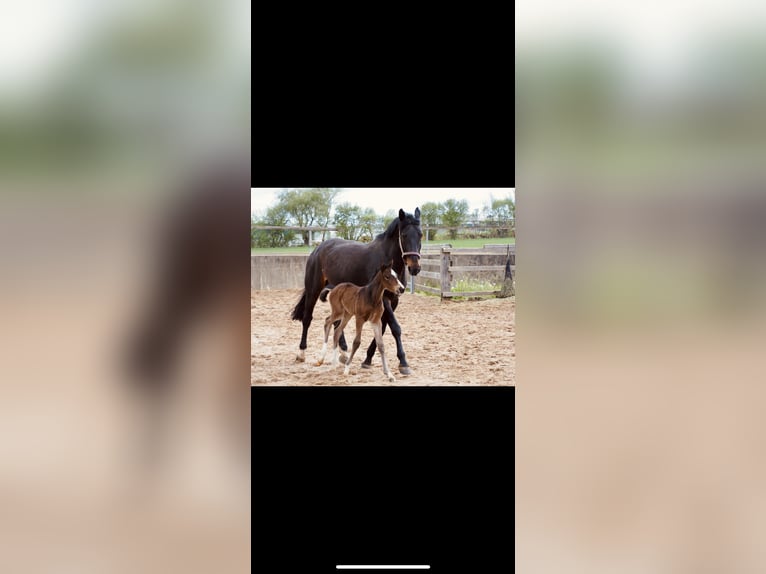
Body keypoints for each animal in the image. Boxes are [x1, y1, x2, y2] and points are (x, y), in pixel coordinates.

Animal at [291, 207, 422, 375]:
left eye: (420, 234)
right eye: (404, 235)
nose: (415, 267)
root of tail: (318, 249)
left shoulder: (393, 300)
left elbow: (383, 328)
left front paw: (368, 359)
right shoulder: (383, 299)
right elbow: (395, 328)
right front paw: (403, 363)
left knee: (336, 323)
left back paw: (343, 353)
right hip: (313, 290)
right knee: (308, 318)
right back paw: (301, 353)